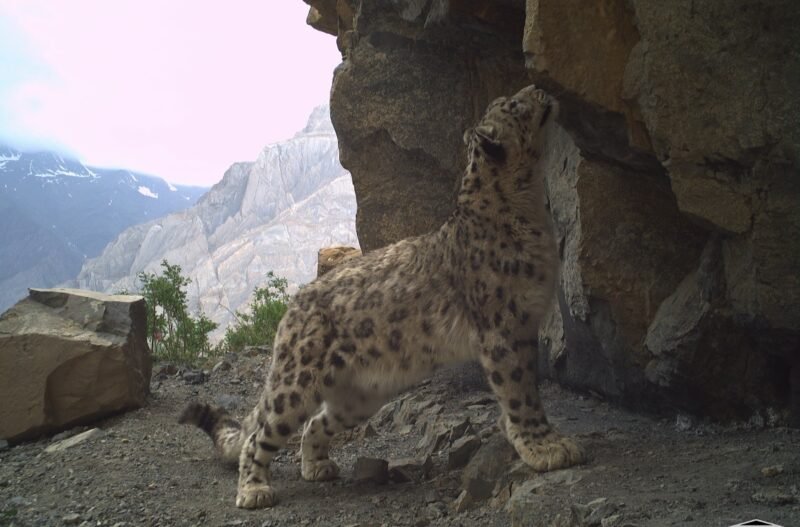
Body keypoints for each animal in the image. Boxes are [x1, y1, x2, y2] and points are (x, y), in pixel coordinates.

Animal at [180, 84, 586, 509]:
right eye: (516, 105)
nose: (538, 88)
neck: (530, 205)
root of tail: (294, 304)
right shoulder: (504, 330)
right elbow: (520, 393)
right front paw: (546, 447)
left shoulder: (525, 326)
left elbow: (525, 390)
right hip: (296, 381)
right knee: (262, 433)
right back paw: (254, 490)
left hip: (359, 396)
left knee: (315, 423)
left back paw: (318, 466)